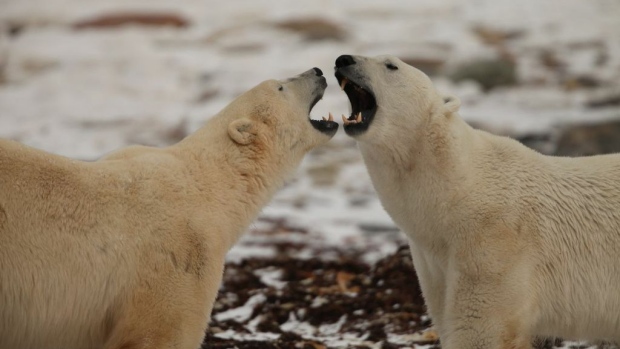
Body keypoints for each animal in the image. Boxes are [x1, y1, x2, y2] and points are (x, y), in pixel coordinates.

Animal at [334, 53, 620, 346]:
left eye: (391, 65)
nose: (343, 59)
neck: (459, 189)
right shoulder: (434, 262)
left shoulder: (493, 245)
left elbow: (479, 329)